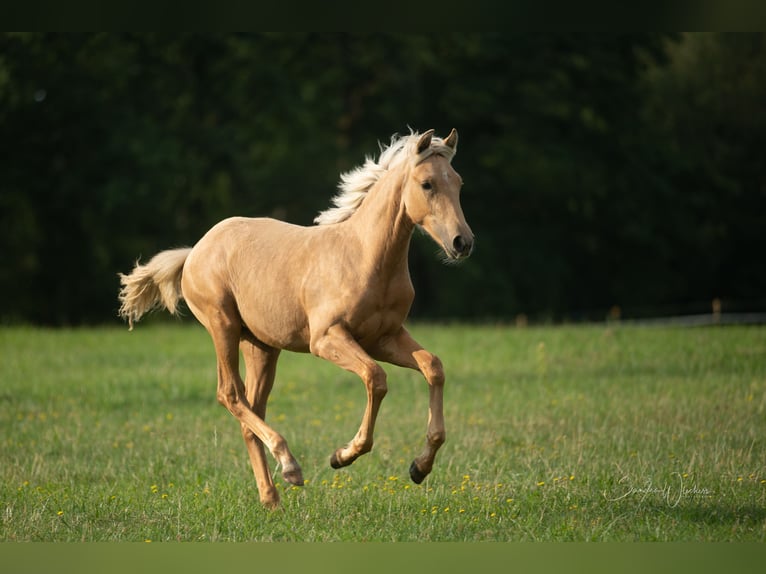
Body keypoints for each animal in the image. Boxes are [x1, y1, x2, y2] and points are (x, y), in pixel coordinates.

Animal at [118, 128, 474, 510]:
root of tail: (196, 250)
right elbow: (375, 378)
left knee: (251, 409)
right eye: (427, 184)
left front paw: (419, 468)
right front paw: (342, 456)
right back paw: (290, 466)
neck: (365, 257)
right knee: (230, 394)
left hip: (261, 346)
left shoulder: (384, 337)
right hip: (222, 326)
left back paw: (271, 497)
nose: (462, 242)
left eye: (458, 182)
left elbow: (433, 367)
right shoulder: (327, 339)